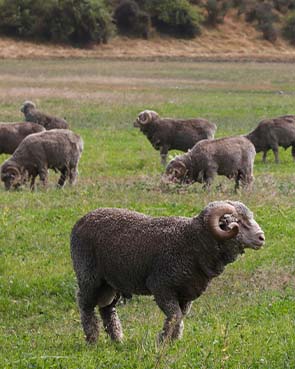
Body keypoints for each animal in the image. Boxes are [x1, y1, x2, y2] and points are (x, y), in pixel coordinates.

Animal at [71, 201, 266, 342]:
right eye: (238, 222)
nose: (261, 237)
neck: (191, 241)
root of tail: (82, 220)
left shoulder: (186, 293)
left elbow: (180, 316)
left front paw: (174, 341)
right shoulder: (161, 286)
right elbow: (174, 315)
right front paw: (163, 340)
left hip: (111, 283)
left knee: (107, 309)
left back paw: (117, 339)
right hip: (89, 276)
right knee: (85, 305)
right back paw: (92, 338)